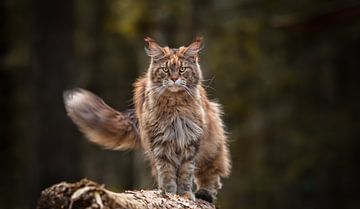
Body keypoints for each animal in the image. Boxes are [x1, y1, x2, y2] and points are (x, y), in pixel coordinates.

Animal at [64, 37, 231, 202]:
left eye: (182, 69)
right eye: (165, 69)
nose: (174, 78)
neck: (175, 105)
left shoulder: (190, 142)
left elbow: (186, 173)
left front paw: (185, 194)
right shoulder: (161, 144)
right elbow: (167, 173)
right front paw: (169, 193)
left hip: (211, 146)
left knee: (211, 173)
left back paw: (205, 193)